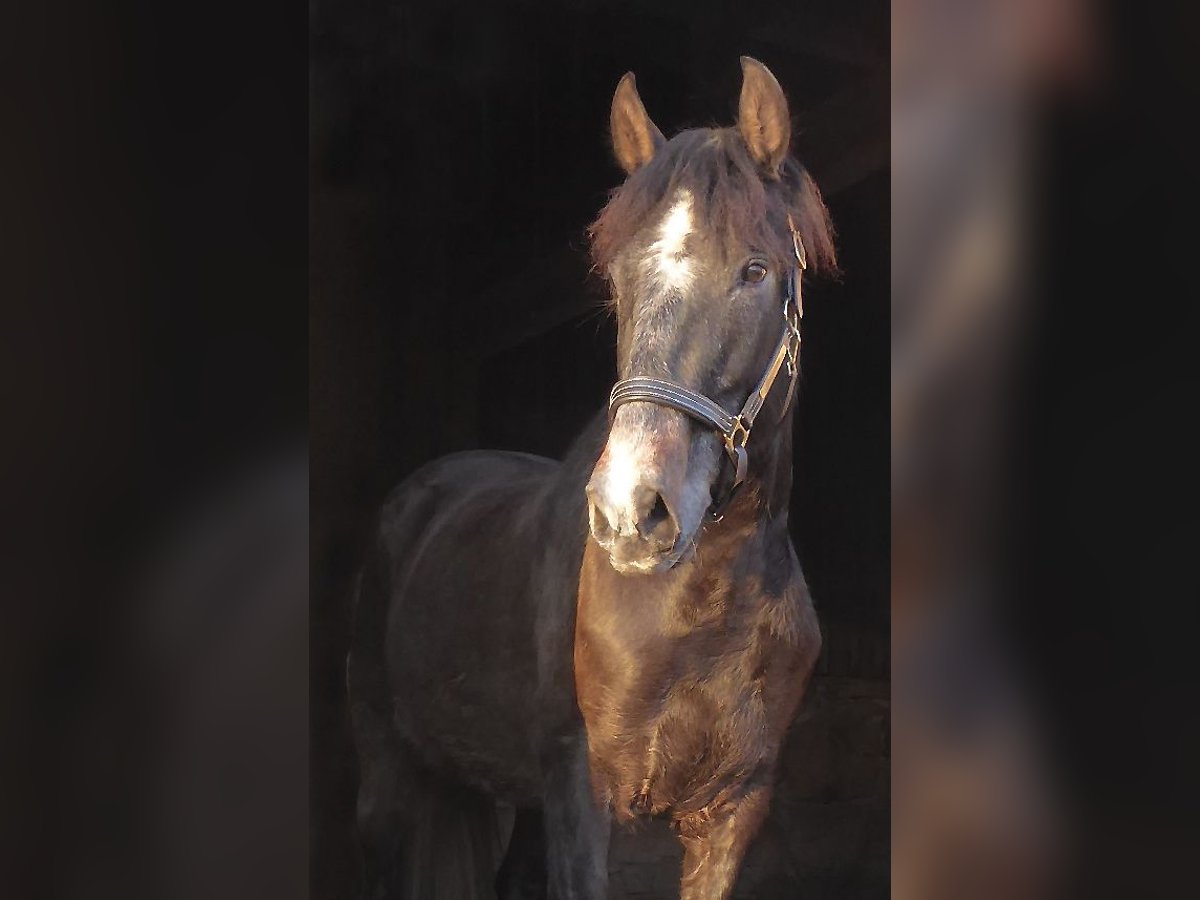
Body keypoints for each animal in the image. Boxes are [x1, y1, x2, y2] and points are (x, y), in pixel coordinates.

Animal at [348, 58, 835, 900]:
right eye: (618, 276)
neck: (702, 613)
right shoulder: (583, 795)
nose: (632, 510)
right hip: (386, 765)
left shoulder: (733, 810)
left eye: (755, 269)